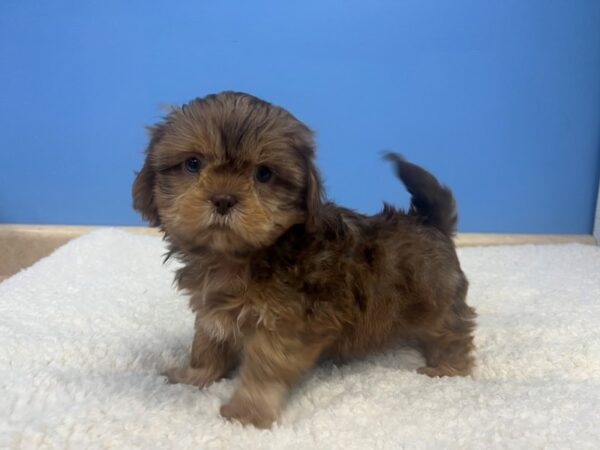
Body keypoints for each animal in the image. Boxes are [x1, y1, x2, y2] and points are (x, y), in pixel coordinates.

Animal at [132, 91, 478, 428]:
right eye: (193, 163)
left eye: (263, 174)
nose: (223, 199)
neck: (242, 256)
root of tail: (430, 222)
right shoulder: (213, 310)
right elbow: (207, 344)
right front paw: (195, 376)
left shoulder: (288, 322)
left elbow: (264, 367)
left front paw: (248, 412)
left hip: (435, 301)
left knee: (452, 329)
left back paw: (448, 367)